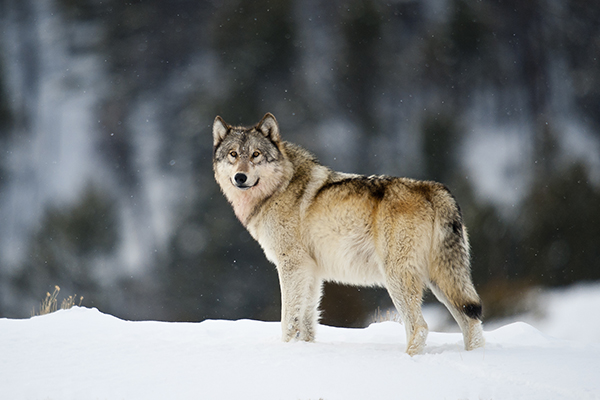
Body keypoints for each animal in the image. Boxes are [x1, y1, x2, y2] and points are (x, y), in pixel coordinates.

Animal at [213, 112, 486, 356]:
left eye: (256, 154)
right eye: (233, 154)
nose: (240, 177)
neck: (279, 188)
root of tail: (433, 189)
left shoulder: (291, 265)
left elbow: (288, 320)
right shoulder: (311, 271)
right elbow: (306, 322)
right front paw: (304, 349)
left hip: (398, 278)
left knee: (419, 327)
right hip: (440, 280)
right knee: (471, 321)